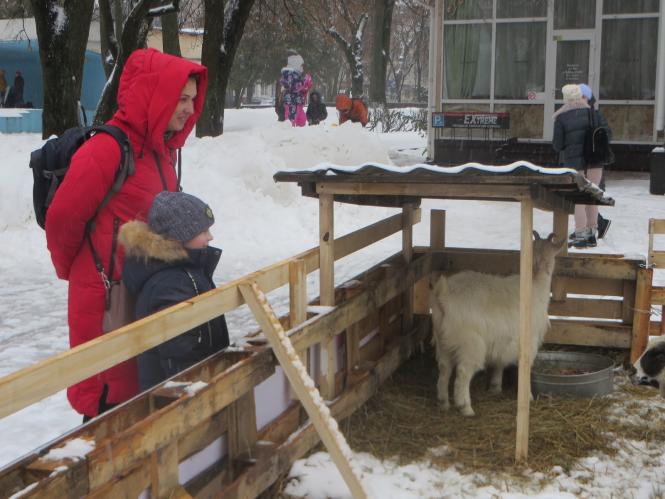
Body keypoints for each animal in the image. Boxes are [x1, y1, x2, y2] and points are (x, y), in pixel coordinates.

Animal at [429, 231, 565, 416]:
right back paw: (466, 408)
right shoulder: (528, 341)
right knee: (462, 374)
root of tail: (444, 296)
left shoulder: (504, 340)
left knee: (444, 369)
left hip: (443, 341)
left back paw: (443, 403)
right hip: (470, 343)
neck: (535, 282)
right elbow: (526, 368)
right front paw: (528, 396)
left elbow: (500, 361)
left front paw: (495, 387)